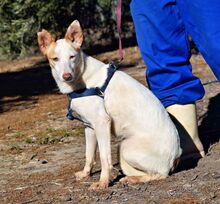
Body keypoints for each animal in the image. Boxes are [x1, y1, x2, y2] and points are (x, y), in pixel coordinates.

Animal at [38, 20, 182, 190]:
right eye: (55, 59)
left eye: (72, 57)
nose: (67, 76)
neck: (82, 79)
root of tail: (176, 155)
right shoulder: (89, 127)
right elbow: (89, 155)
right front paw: (85, 174)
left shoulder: (102, 123)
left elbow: (104, 158)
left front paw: (103, 182)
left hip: (126, 148)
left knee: (160, 174)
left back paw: (132, 179)